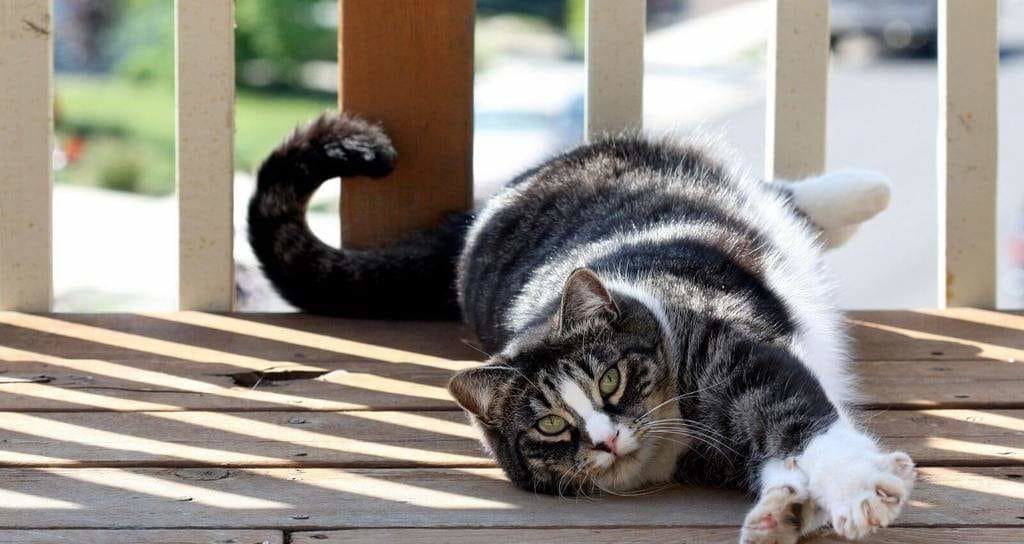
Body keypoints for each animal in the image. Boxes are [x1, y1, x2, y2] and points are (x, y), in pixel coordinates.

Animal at [249, 112, 921, 540]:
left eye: (611, 380)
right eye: (549, 425)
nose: (605, 439)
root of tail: (489, 206)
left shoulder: (736, 348)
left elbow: (797, 420)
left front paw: (859, 493)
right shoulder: (715, 454)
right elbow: (775, 456)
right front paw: (784, 510)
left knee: (780, 197)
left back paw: (863, 191)